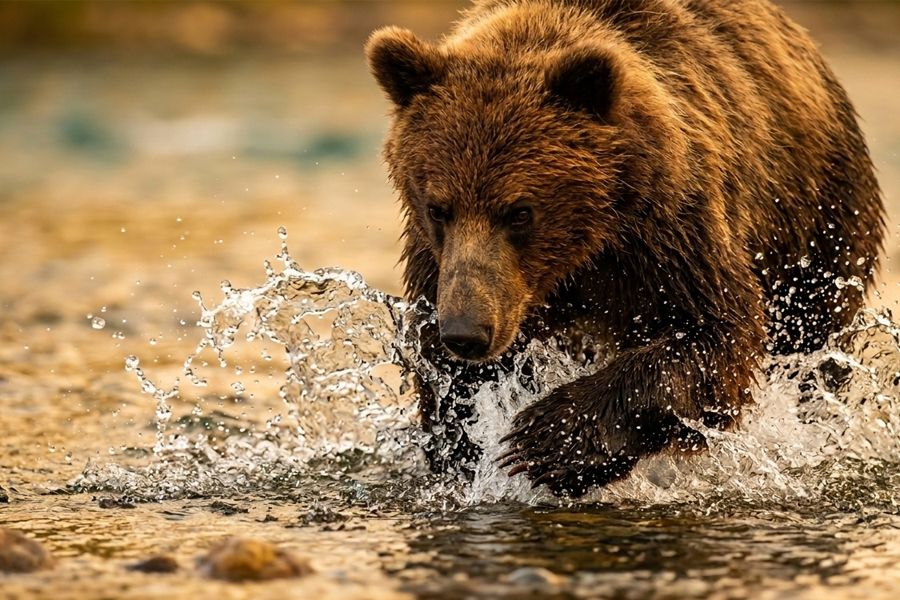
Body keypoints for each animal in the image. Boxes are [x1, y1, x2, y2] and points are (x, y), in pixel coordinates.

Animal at [366, 0, 885, 497]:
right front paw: (466, 447)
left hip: (817, 225)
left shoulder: (669, 230)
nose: (467, 333)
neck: (581, 252)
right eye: (439, 208)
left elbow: (715, 337)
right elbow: (447, 375)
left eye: (520, 212)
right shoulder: (439, 264)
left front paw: (549, 440)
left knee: (813, 346)